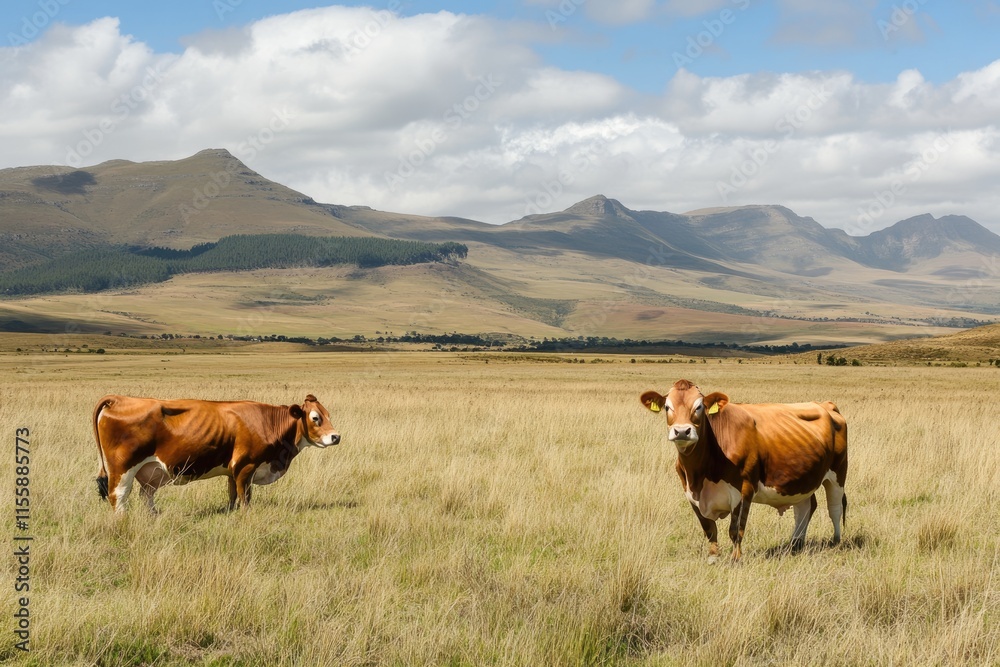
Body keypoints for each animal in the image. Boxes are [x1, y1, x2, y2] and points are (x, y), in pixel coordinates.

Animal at [93, 394, 340, 513]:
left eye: (328, 414)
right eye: (315, 418)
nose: (336, 437)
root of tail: (119, 398)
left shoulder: (233, 470)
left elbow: (231, 495)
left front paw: (229, 513)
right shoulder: (245, 467)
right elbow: (245, 497)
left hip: (149, 471)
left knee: (146, 495)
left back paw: (154, 516)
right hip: (122, 468)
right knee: (118, 497)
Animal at [640, 379, 847, 563]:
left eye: (699, 406)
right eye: (667, 407)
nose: (682, 431)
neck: (700, 475)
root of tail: (825, 404)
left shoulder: (743, 489)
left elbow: (736, 528)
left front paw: (736, 558)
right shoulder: (691, 494)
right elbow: (709, 529)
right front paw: (713, 557)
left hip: (838, 474)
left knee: (834, 508)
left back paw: (836, 541)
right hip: (801, 479)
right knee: (805, 507)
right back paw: (795, 543)